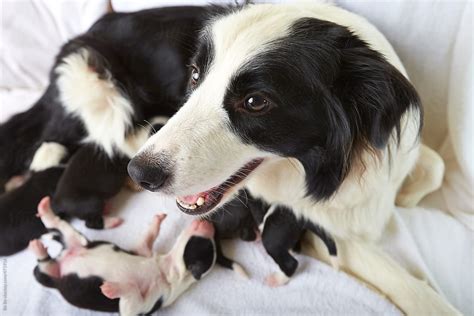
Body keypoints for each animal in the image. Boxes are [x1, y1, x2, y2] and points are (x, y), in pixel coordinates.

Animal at [32, 198, 218, 316]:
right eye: (209, 245)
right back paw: (44, 212)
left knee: (43, 267)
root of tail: (62, 256)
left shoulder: (143, 306)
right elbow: (148, 237)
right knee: (58, 225)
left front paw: (111, 289)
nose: (210, 223)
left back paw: (38, 247)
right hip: (79, 240)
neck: (166, 271)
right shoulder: (142, 251)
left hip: (49, 274)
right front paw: (158, 220)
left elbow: (131, 293)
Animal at [128, 3, 454, 314]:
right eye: (195, 75)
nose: (140, 173)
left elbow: (437, 165)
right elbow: (405, 283)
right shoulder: (318, 225)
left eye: (255, 101)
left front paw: (407, 198)